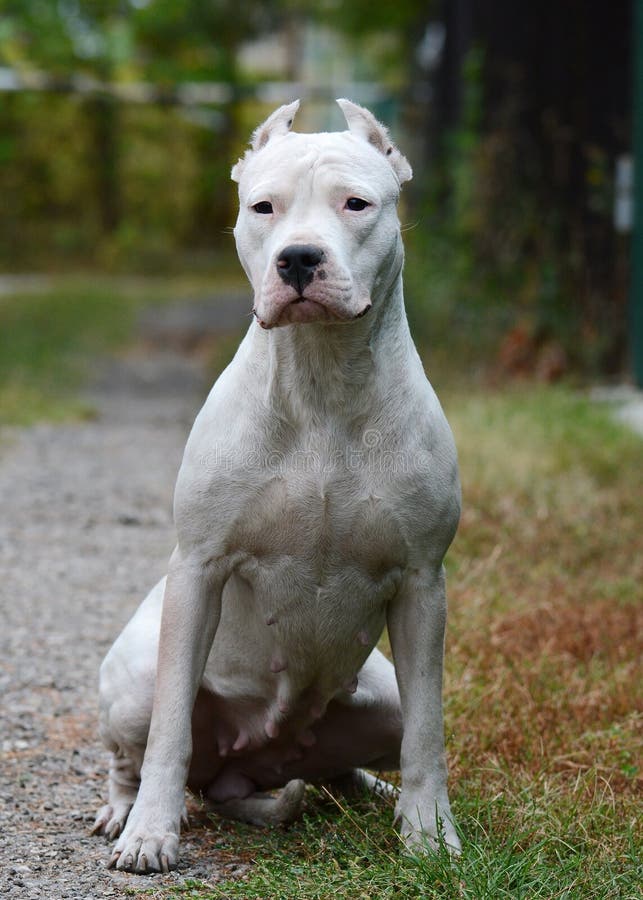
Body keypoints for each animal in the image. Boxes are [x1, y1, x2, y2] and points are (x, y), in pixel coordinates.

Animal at [92, 98, 462, 872]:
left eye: (356, 204)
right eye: (263, 207)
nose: (298, 257)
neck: (321, 381)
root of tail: (252, 762)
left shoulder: (423, 583)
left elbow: (429, 730)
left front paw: (430, 831)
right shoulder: (199, 569)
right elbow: (171, 729)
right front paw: (151, 833)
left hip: (374, 698)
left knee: (346, 761)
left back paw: (370, 795)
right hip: (134, 681)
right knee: (134, 752)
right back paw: (125, 809)